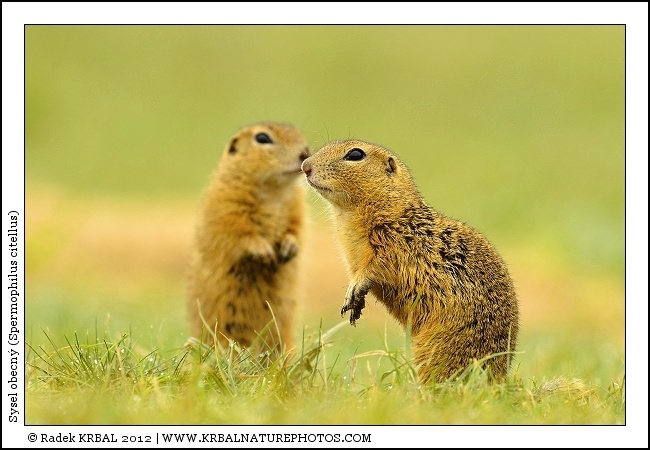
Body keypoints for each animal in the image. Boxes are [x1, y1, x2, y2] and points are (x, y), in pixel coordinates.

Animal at [188, 122, 310, 352]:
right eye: (262, 138)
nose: (305, 153)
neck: (273, 192)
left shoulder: (297, 209)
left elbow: (296, 229)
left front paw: (289, 247)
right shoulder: (227, 207)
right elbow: (239, 234)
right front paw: (264, 252)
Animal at [301, 139, 519, 383]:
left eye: (355, 154)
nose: (305, 166)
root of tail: (498, 379)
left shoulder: (395, 246)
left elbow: (375, 270)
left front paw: (354, 291)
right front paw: (355, 303)